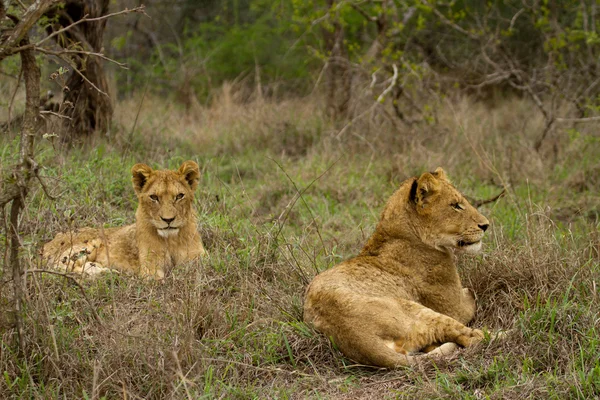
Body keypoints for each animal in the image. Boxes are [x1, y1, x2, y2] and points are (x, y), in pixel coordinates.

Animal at [42, 161, 206, 280]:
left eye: (179, 196)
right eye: (154, 197)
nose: (168, 219)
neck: (172, 239)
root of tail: (46, 245)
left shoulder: (199, 260)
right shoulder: (150, 268)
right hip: (83, 246)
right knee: (60, 267)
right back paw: (107, 274)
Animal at [304, 166, 492, 368]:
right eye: (456, 205)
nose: (486, 225)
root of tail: (352, 335)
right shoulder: (455, 308)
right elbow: (471, 294)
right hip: (415, 309)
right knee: (471, 337)